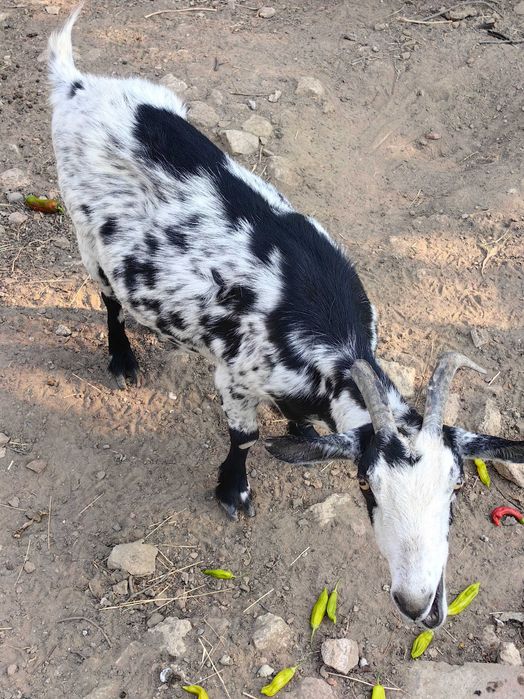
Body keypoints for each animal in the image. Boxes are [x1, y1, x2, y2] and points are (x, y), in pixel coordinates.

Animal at [48, 8, 523, 629]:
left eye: (457, 487)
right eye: (366, 486)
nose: (418, 603)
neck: (335, 347)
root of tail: (76, 84)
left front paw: (301, 430)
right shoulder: (234, 374)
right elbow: (245, 435)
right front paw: (234, 492)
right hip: (85, 228)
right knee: (106, 296)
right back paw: (122, 359)